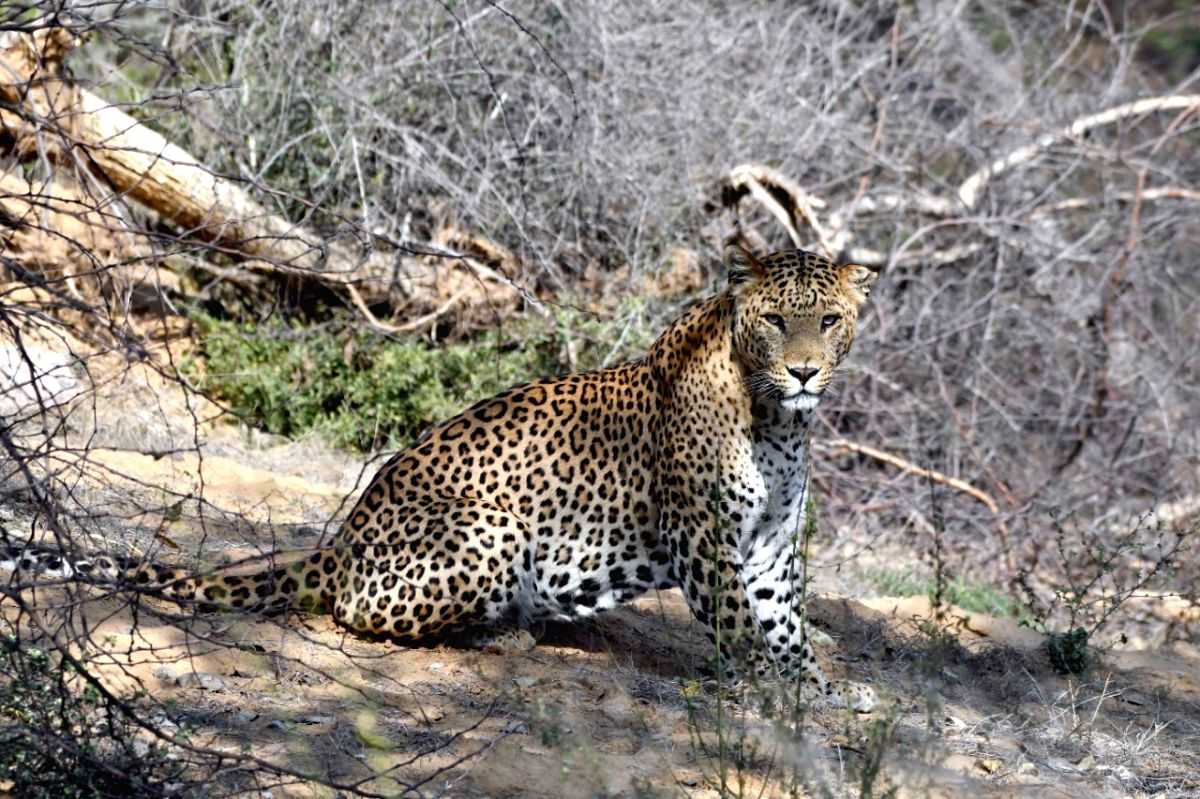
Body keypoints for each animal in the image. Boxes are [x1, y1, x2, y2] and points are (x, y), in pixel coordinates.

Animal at [2, 244, 879, 711]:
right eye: (776, 320)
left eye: (830, 320)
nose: (805, 370)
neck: (778, 422)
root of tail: (341, 541)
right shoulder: (703, 532)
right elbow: (739, 623)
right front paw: (773, 694)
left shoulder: (770, 544)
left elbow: (786, 622)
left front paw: (818, 688)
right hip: (490, 530)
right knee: (364, 613)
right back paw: (509, 628)